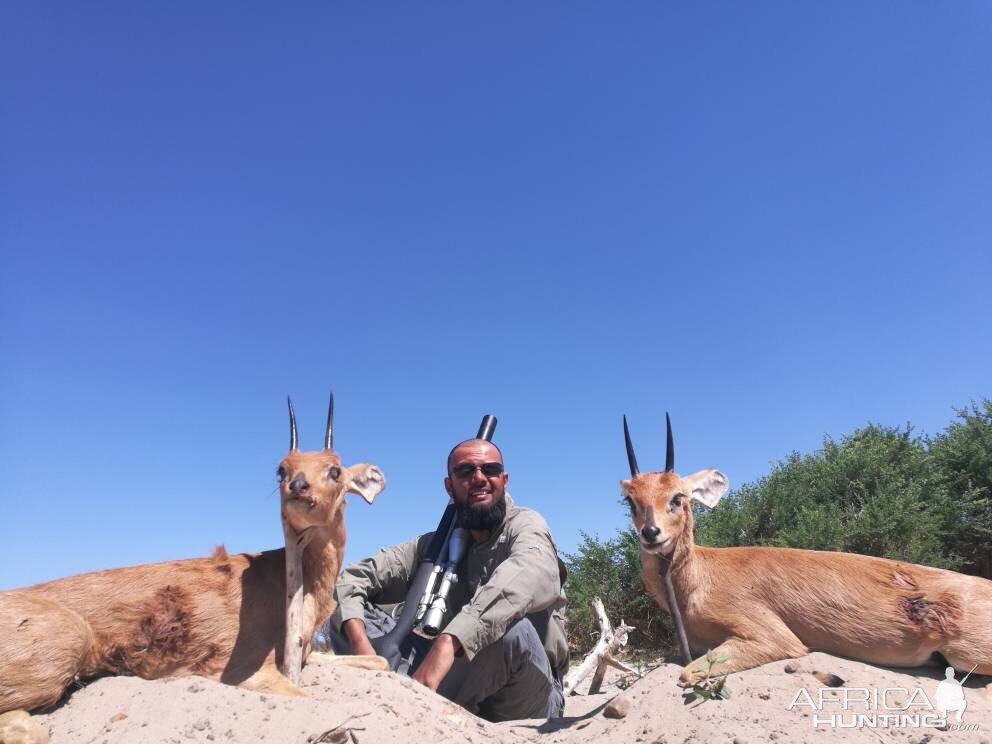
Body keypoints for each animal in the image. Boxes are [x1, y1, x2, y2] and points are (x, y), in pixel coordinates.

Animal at [620, 412, 992, 684]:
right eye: (630, 500)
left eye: (677, 497)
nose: (651, 534)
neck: (699, 579)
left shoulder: (771, 637)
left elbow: (686, 673)